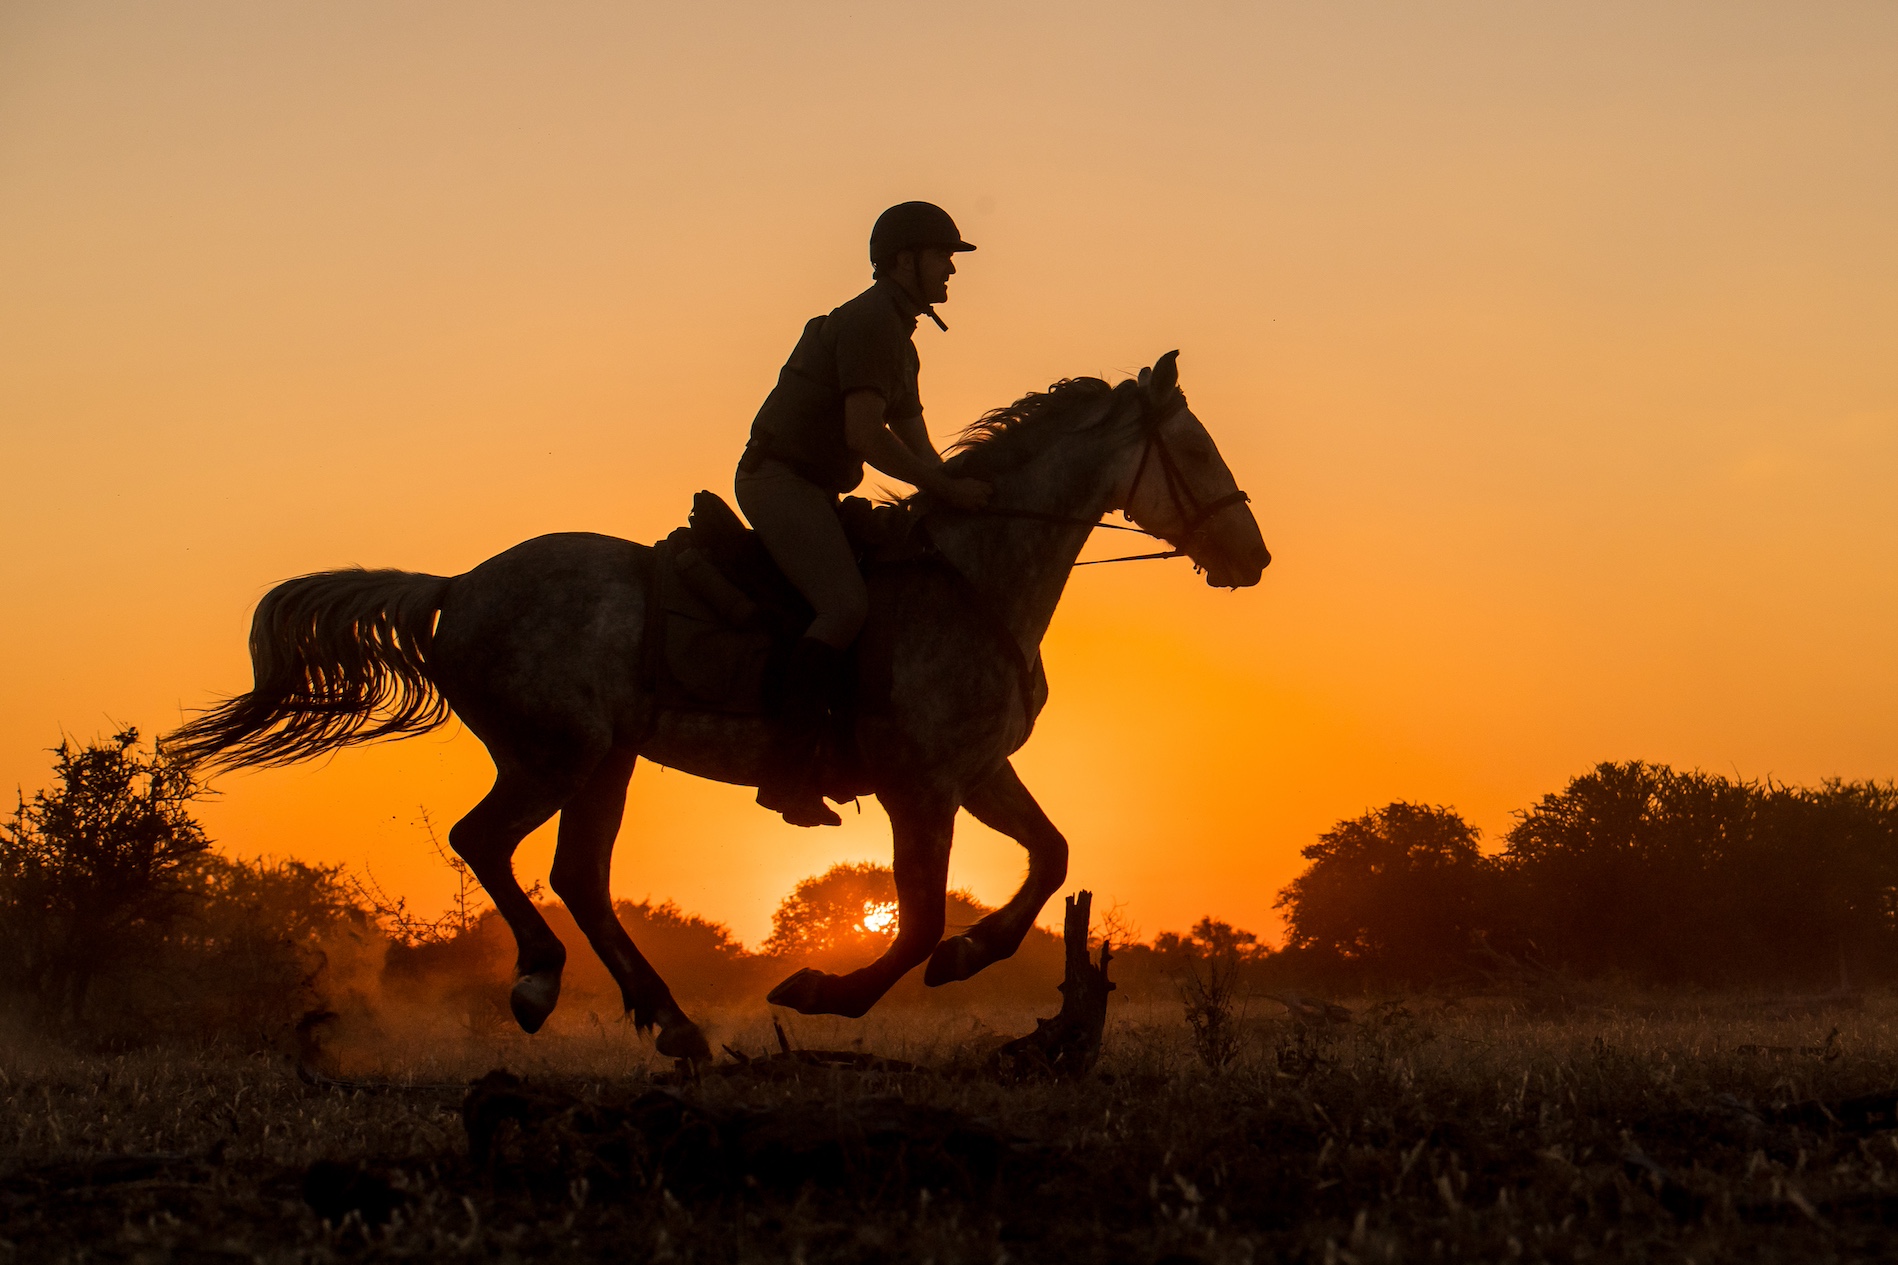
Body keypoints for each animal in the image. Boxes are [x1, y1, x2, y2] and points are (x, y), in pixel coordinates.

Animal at [163, 351, 1260, 1056]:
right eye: (1201, 452)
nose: (1252, 558)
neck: (973, 572)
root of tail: (458, 586)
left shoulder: (979, 769)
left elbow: (1049, 857)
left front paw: (969, 955)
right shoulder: (919, 783)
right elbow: (910, 917)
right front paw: (827, 990)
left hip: (601, 760)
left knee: (576, 874)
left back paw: (671, 1022)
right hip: (557, 752)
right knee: (491, 844)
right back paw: (543, 981)